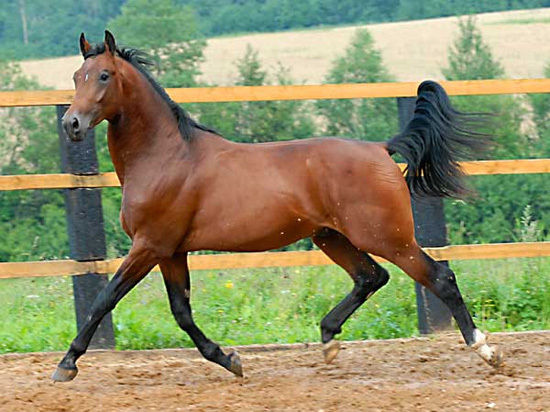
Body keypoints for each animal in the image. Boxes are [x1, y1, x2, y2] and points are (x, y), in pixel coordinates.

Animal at [52, 30, 504, 382]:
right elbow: (182, 312)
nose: (71, 124)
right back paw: (328, 339)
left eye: (105, 75)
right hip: (331, 237)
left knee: (439, 277)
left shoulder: (149, 245)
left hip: (386, 237)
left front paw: (67, 364)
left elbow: (104, 299)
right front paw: (230, 359)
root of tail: (380, 148)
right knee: (371, 277)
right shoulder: (172, 251)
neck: (166, 157)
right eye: (76, 76)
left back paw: (485, 350)